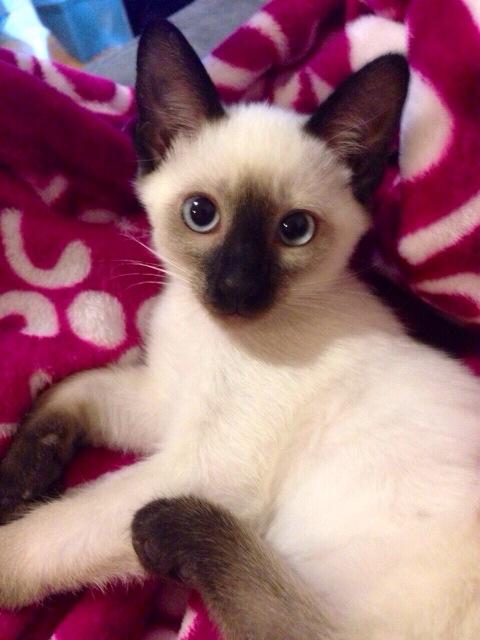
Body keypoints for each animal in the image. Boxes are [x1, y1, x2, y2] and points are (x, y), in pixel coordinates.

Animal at [1, 18, 480, 640]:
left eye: (295, 230)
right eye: (201, 215)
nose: (237, 287)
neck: (210, 335)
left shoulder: (200, 468)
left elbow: (50, 529)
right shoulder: (164, 402)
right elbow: (69, 389)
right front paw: (20, 478)